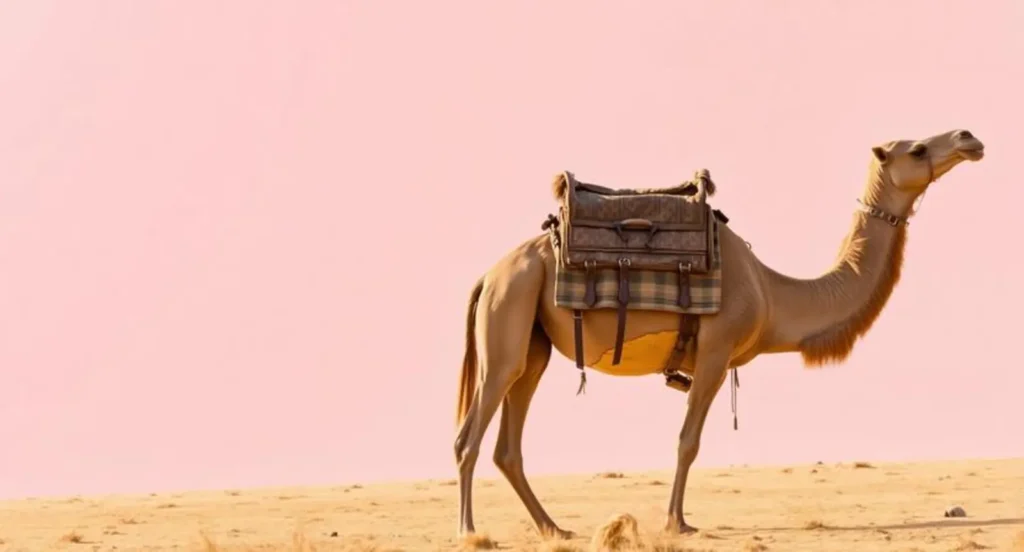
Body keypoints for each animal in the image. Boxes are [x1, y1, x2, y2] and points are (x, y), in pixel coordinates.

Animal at [453, 129, 985, 538]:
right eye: (917, 149)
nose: (969, 138)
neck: (771, 292)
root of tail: (488, 274)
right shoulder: (713, 351)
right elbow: (688, 440)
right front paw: (678, 523)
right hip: (510, 311)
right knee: (470, 435)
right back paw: (469, 531)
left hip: (531, 336)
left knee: (509, 442)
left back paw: (554, 528)